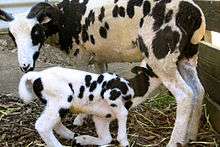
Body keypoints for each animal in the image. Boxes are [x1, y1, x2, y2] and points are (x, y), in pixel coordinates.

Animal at [18, 63, 160, 147]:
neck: (133, 87)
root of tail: (37, 75)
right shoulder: (111, 94)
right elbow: (123, 113)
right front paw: (123, 141)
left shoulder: (101, 118)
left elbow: (106, 139)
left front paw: (83, 139)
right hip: (62, 99)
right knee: (42, 125)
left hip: (54, 104)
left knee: (54, 123)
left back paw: (72, 136)